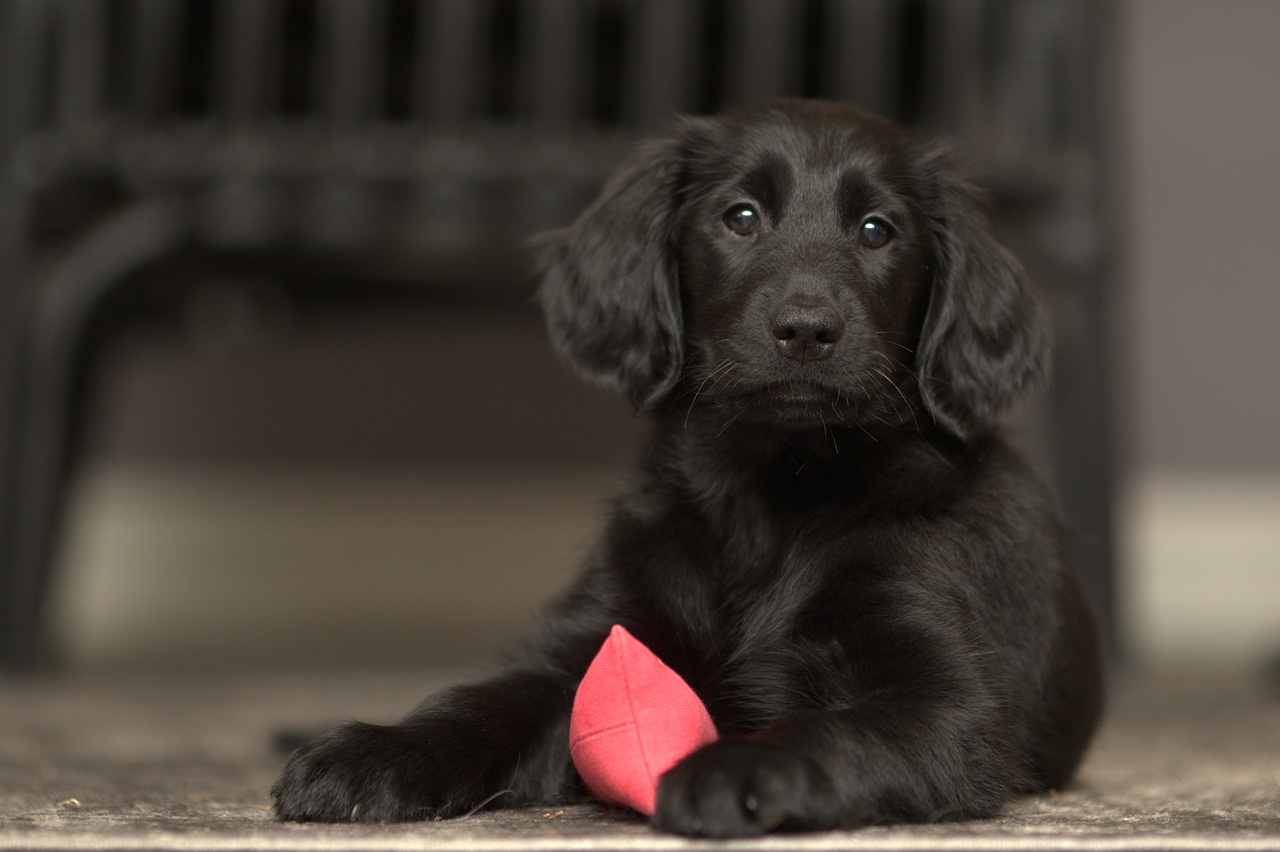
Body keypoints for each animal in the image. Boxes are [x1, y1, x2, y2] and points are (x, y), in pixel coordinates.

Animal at [272, 101, 1111, 834]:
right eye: (740, 217)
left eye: (878, 231)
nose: (808, 329)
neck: (769, 499)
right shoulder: (594, 641)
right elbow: (484, 701)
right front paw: (376, 752)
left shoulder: (945, 707)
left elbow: (829, 732)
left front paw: (733, 769)